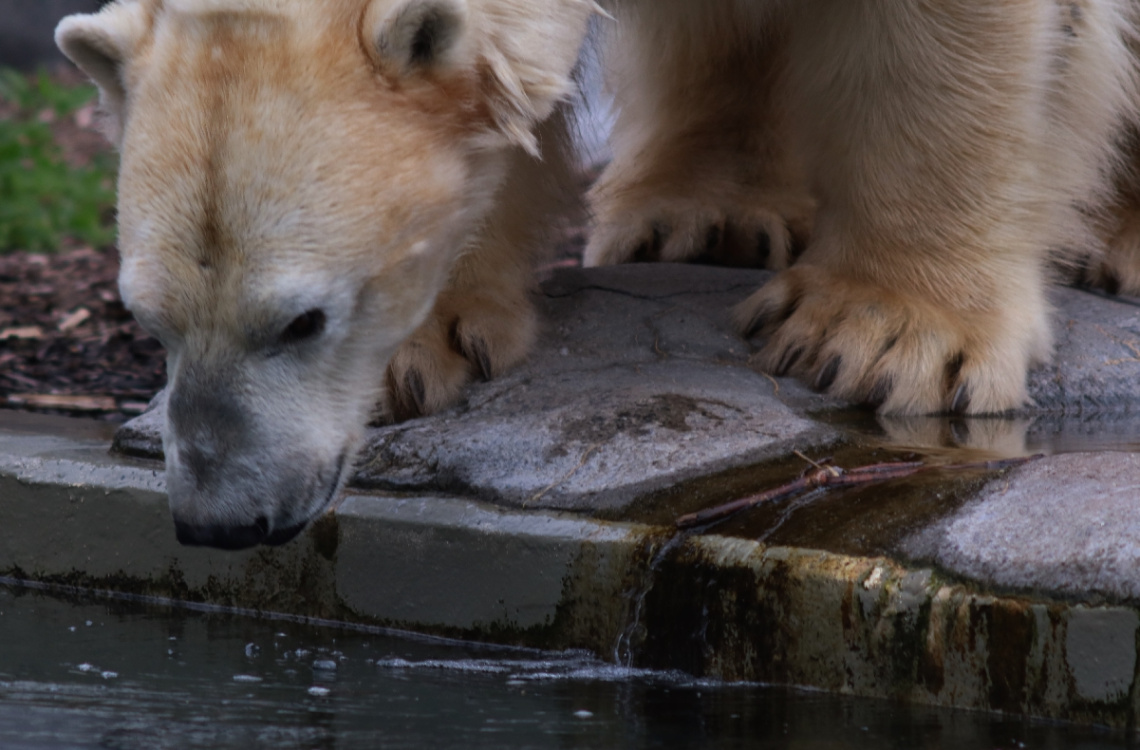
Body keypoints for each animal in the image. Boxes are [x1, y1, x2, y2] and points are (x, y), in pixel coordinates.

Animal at [60, 0, 1140, 547]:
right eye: (148, 320)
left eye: (302, 320)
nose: (217, 522)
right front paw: (433, 340)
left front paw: (884, 332)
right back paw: (706, 212)